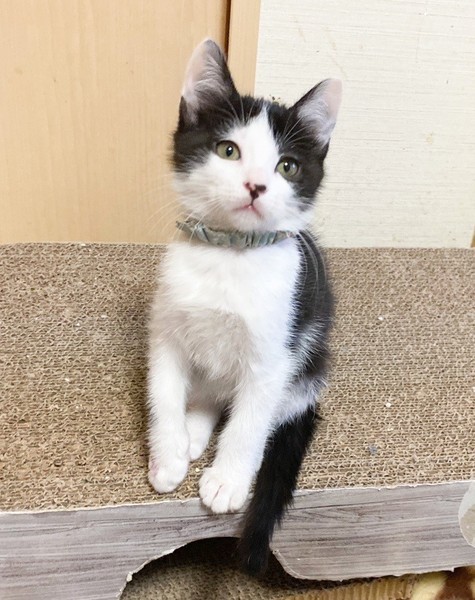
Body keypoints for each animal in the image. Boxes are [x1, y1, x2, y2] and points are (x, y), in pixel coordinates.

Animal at [147, 39, 341, 574]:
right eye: (227, 150)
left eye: (287, 166)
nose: (256, 185)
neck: (229, 256)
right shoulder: (166, 329)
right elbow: (163, 391)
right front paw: (168, 454)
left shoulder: (274, 354)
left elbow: (251, 421)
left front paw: (228, 480)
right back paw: (192, 433)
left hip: (309, 359)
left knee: (269, 412)